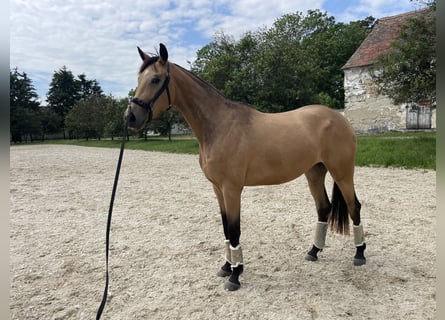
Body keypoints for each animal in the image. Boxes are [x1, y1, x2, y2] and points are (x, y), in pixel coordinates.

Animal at [124, 43, 364, 292]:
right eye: (139, 77)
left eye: (155, 79)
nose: (130, 117)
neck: (219, 126)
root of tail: (339, 118)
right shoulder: (218, 189)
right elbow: (225, 229)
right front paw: (225, 267)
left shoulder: (232, 189)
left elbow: (234, 229)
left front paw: (235, 275)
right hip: (314, 172)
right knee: (324, 208)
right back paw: (314, 251)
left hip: (342, 172)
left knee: (354, 206)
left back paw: (359, 254)